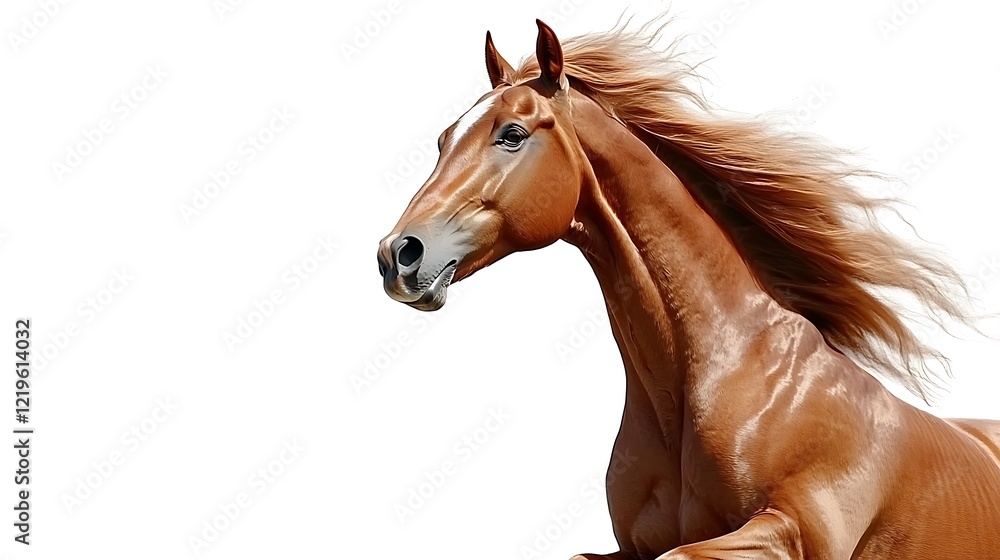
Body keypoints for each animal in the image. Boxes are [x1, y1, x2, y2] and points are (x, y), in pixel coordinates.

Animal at [376, 19, 1000, 559]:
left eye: (512, 134)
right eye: (443, 140)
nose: (398, 255)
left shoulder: (794, 533)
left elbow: (680, 555)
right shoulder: (628, 548)